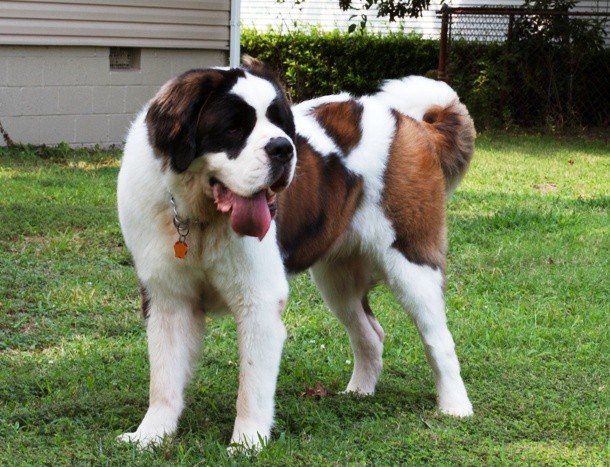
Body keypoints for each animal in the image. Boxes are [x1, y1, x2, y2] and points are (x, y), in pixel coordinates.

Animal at [116, 59, 475, 451]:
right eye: (233, 128)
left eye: (279, 123)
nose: (283, 148)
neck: (199, 217)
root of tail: (409, 122)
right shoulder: (167, 299)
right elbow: (164, 378)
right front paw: (150, 435)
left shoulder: (259, 302)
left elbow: (252, 384)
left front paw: (246, 443)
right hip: (337, 280)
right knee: (369, 333)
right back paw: (359, 391)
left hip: (412, 263)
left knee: (438, 339)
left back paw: (455, 407)